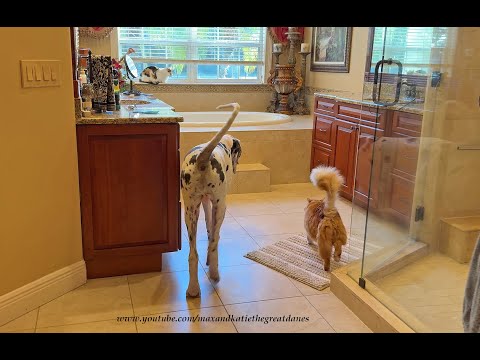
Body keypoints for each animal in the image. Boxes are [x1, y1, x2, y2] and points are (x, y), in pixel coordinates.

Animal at [180, 102, 242, 296]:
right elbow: (214, 234)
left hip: (190, 211)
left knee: (193, 254)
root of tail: (203, 158)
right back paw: (214, 273)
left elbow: (209, 228)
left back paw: (193, 289)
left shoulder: (205, 202)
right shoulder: (215, 204)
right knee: (215, 243)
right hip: (221, 206)